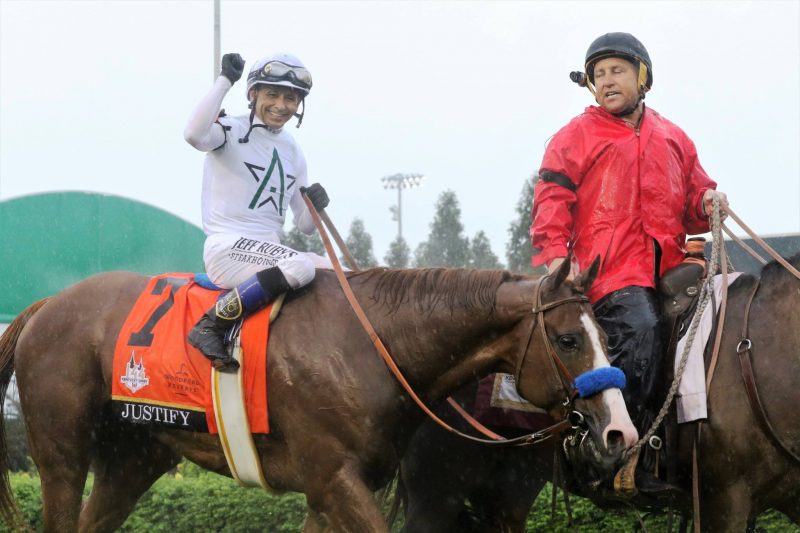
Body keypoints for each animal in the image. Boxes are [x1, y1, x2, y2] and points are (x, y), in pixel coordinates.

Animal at [0, 260, 636, 528]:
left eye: (610, 336)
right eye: (569, 339)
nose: (620, 432)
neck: (374, 342)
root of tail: (45, 307)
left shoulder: (330, 488)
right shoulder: (335, 478)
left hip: (136, 456)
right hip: (61, 455)